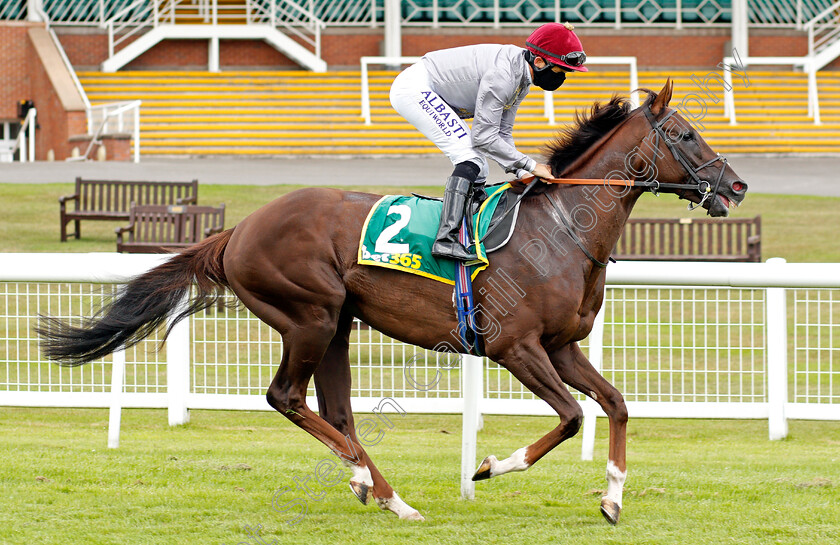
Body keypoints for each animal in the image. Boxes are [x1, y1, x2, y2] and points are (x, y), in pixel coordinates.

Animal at [39, 81, 748, 524]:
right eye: (685, 133)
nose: (736, 186)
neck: (562, 230)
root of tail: (237, 230)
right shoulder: (513, 346)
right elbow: (573, 416)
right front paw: (490, 465)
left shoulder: (562, 345)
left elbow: (617, 405)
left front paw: (613, 499)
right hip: (310, 314)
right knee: (286, 397)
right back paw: (373, 485)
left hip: (338, 326)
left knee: (335, 411)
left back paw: (383, 492)